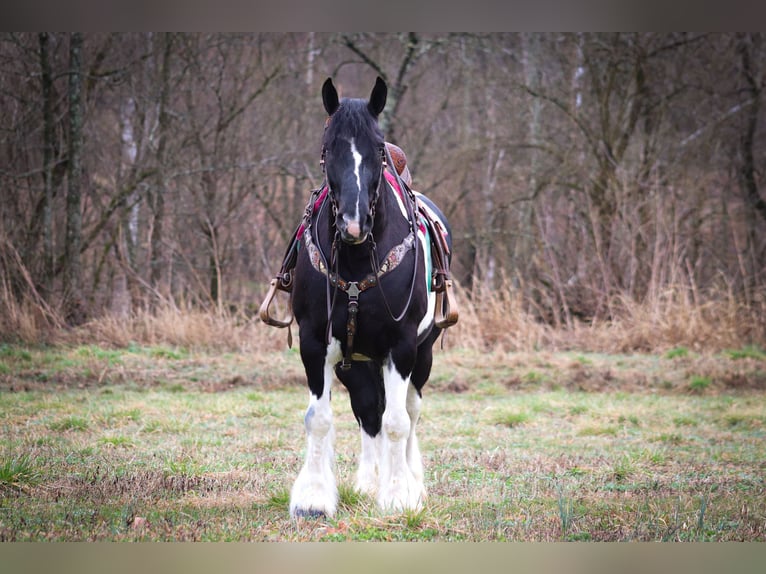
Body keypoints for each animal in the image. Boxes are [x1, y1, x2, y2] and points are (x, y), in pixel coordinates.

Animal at [288, 76, 456, 520]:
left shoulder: (401, 345)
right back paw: (367, 481)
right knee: (368, 411)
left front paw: (399, 494)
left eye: (378, 148)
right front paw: (314, 497)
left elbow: (398, 421)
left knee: (407, 412)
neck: (358, 257)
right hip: (357, 361)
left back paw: (412, 481)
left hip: (421, 354)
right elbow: (320, 418)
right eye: (328, 147)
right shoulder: (316, 343)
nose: (353, 222)